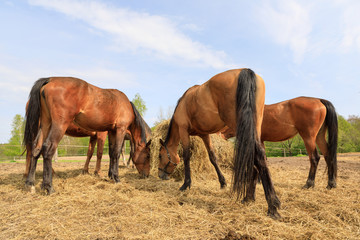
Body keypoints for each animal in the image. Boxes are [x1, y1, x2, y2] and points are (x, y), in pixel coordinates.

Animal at [158, 68, 282, 218]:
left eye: (159, 156)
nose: (160, 175)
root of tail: (245, 71)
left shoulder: (183, 130)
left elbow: (186, 157)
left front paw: (186, 184)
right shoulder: (204, 135)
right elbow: (213, 157)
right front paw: (222, 182)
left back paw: (272, 206)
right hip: (254, 126)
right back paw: (248, 198)